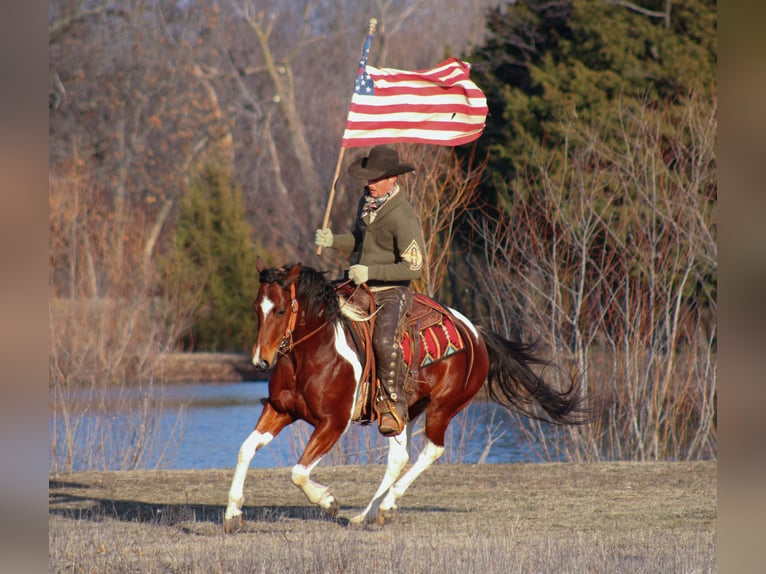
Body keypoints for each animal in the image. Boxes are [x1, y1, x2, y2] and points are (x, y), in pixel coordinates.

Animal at [225, 260, 584, 536]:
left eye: (280, 309)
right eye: (257, 308)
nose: (261, 361)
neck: (315, 353)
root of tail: (476, 333)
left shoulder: (333, 423)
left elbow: (298, 472)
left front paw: (328, 501)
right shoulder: (279, 411)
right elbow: (245, 450)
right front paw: (232, 515)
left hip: (442, 407)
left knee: (431, 450)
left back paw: (384, 506)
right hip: (401, 412)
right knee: (399, 458)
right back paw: (368, 514)